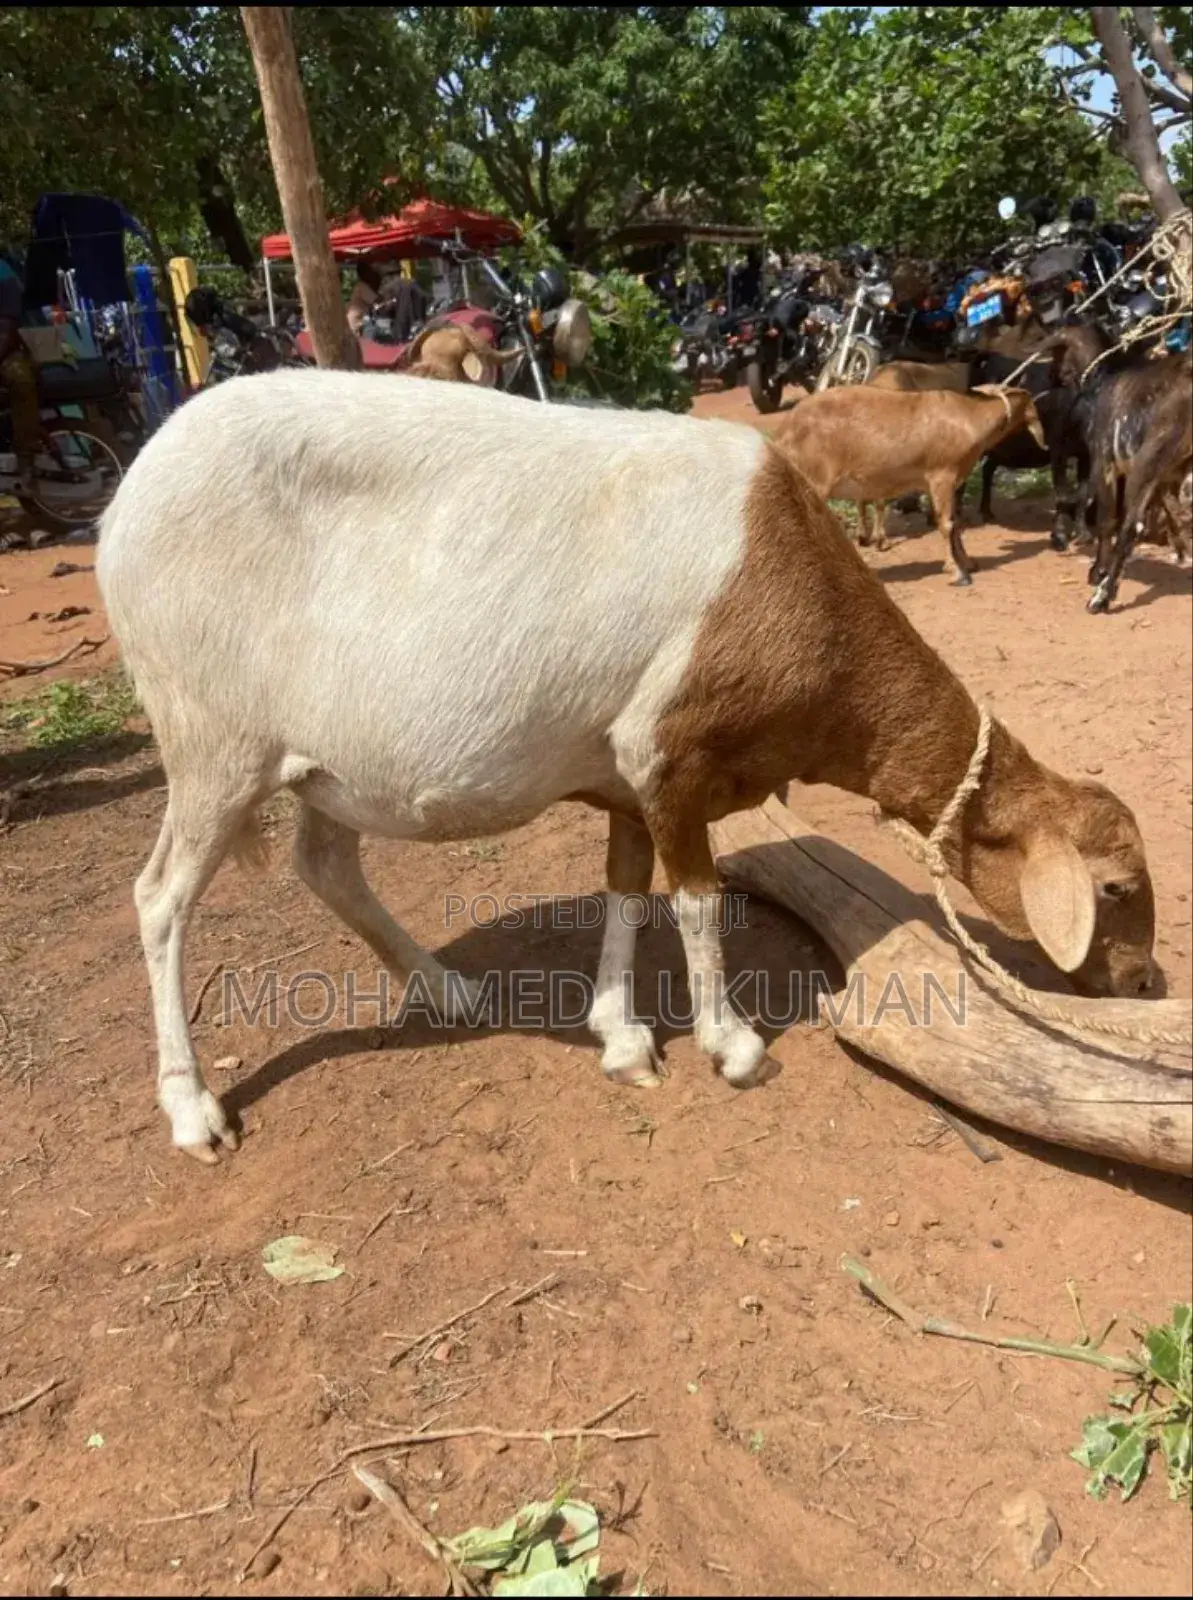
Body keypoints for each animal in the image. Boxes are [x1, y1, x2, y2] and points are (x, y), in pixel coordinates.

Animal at [773, 384, 1046, 582]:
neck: (970, 420)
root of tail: (783, 432)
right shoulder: (942, 474)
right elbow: (947, 524)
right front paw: (957, 572)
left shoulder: (948, 482)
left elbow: (955, 522)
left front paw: (968, 563)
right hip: (813, 478)